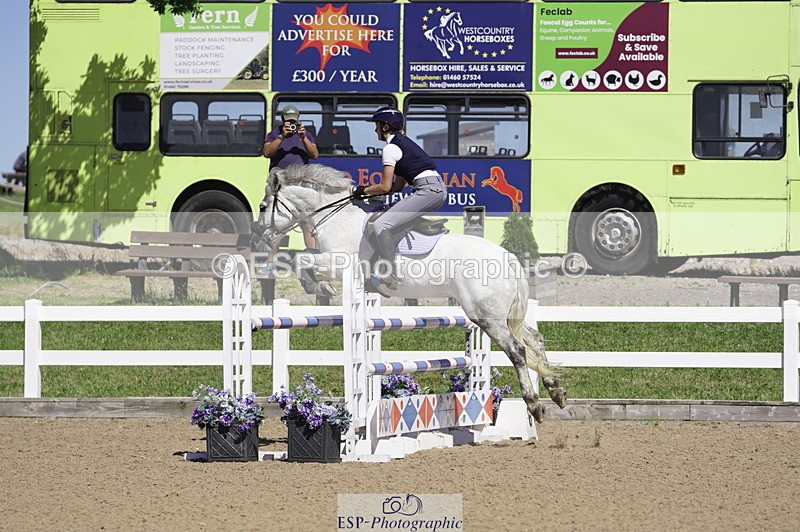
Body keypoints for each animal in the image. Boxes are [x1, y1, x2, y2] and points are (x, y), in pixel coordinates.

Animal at [255, 163, 567, 423]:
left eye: (262, 205)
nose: (261, 237)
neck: (338, 219)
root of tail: (508, 258)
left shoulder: (338, 263)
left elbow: (301, 260)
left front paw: (319, 286)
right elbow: (302, 260)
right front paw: (319, 286)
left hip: (486, 317)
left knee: (517, 350)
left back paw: (534, 404)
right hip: (502, 316)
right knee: (535, 340)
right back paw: (556, 392)